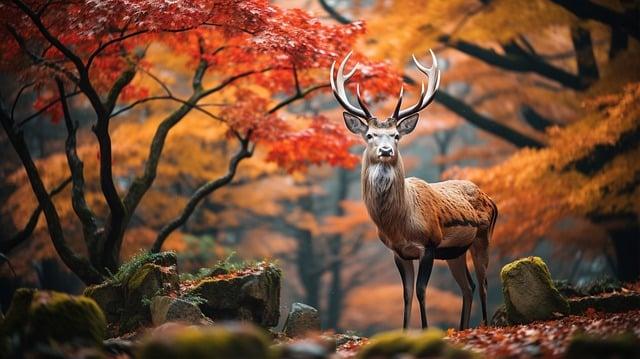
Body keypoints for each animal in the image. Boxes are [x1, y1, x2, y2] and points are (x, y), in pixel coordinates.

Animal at [332, 50, 498, 332]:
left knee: (484, 283)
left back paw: (485, 325)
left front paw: (425, 330)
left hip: (482, 236)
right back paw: (462, 328)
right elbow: (407, 294)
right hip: (455, 252)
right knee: (469, 286)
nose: (385, 150)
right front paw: (405, 331)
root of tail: (491, 200)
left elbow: (421, 291)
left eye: (396, 135)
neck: (400, 224)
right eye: (369, 134)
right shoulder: (398, 252)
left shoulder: (429, 243)